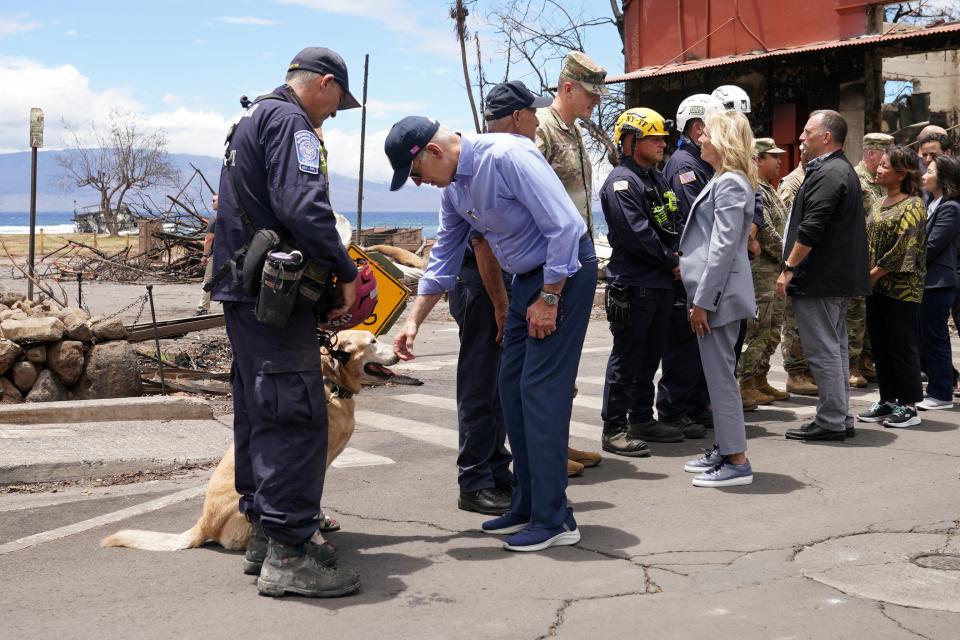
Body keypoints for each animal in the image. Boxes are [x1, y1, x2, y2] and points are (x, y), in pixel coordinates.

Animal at [100, 328, 404, 552]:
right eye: (373, 341)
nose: (401, 352)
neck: (332, 386)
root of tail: (204, 524)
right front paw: (314, 533)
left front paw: (320, 521)